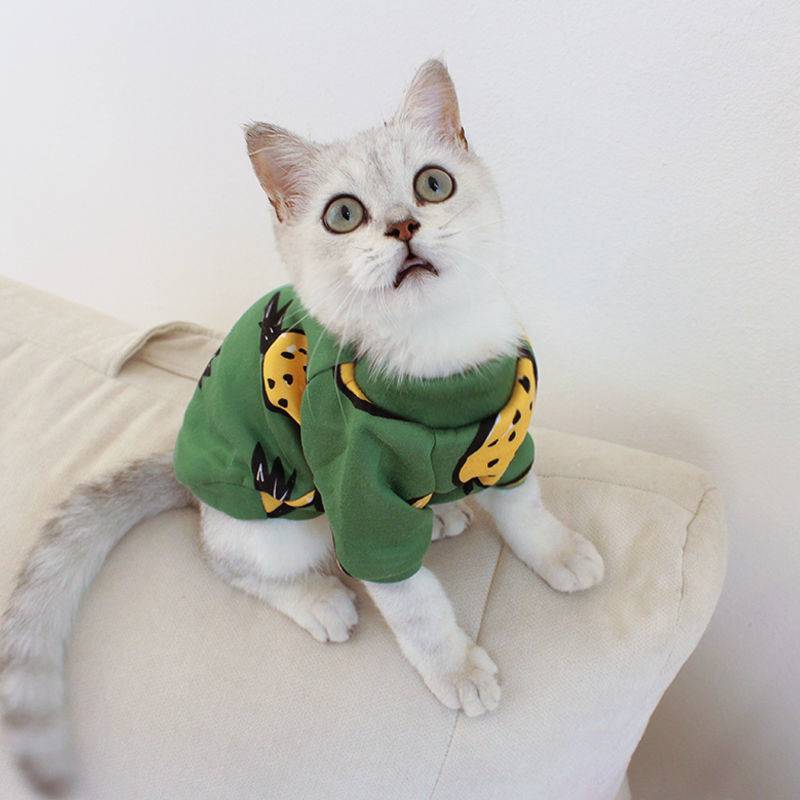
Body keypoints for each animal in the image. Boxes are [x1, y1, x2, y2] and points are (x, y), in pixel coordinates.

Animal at [0, 59, 604, 796]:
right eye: (344, 215)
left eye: (433, 183)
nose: (403, 226)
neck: (434, 356)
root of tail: (187, 479)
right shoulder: (359, 497)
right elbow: (416, 605)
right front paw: (456, 667)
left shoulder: (505, 435)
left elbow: (525, 509)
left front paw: (559, 551)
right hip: (281, 521)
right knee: (229, 562)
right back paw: (318, 598)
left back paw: (439, 514)